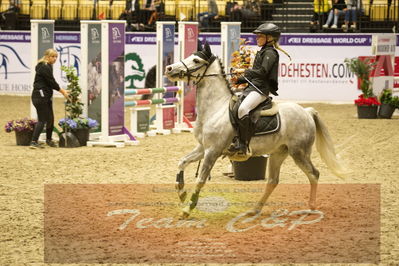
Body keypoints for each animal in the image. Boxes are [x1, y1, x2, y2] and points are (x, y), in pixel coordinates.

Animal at [164, 42, 346, 218]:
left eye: (196, 60)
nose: (169, 69)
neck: (216, 108)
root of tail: (307, 112)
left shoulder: (212, 151)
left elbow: (200, 180)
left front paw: (187, 209)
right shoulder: (203, 148)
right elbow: (182, 162)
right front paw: (181, 192)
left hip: (299, 153)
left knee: (314, 174)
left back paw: (311, 208)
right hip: (279, 152)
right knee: (273, 181)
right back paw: (254, 210)